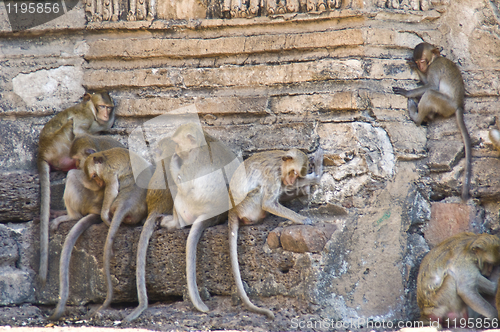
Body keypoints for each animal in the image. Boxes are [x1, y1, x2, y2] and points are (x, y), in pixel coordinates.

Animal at [37, 91, 115, 286]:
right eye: (102, 107)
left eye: (108, 107)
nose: (106, 114)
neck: (91, 110)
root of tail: (41, 152)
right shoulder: (84, 118)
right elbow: (79, 130)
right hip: (59, 145)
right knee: (70, 127)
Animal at [83, 148, 150, 316]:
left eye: (94, 176)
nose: (99, 183)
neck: (104, 155)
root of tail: (126, 203)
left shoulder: (108, 173)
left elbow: (112, 189)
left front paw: (104, 216)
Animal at [228, 148, 324, 320]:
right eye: (293, 172)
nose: (291, 180)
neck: (280, 164)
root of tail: (232, 210)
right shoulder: (272, 175)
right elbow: (268, 203)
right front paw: (303, 219)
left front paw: (315, 175)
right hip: (248, 204)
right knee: (260, 193)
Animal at [390, 42, 472, 201]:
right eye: (417, 62)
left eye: (422, 61)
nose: (420, 66)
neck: (435, 58)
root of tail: (459, 105)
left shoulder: (434, 67)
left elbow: (431, 85)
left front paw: (407, 92)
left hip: (445, 104)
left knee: (430, 93)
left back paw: (416, 116)